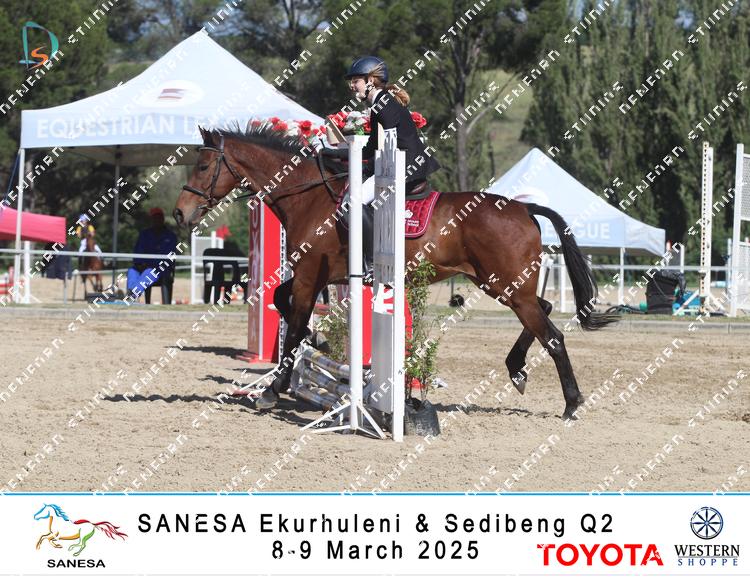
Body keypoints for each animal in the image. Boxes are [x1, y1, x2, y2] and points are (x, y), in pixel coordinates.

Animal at [173, 124, 618, 419]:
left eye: (203, 166)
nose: (180, 213)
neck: (308, 197)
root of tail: (524, 207)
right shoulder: (314, 278)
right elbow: (282, 304)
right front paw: (318, 342)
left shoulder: (310, 277)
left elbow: (295, 325)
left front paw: (273, 390)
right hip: (498, 283)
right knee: (542, 311)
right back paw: (517, 370)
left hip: (507, 286)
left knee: (552, 334)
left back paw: (571, 402)